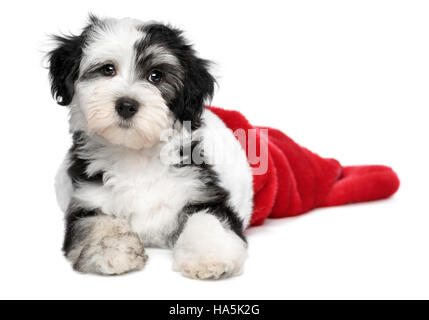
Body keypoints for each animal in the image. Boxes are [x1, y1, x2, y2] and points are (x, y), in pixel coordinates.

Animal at [49, 16, 254, 278]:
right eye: (107, 69)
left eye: (156, 76)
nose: (126, 105)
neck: (135, 155)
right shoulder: (86, 198)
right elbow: (96, 223)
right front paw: (114, 251)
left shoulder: (201, 190)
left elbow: (208, 217)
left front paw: (210, 257)